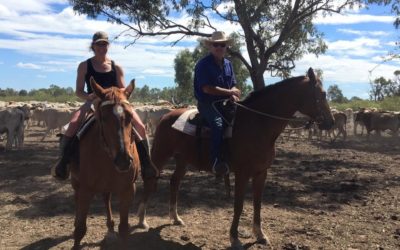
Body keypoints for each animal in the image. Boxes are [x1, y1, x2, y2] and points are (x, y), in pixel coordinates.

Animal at [70, 77, 141, 248]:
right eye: (103, 117)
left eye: (130, 116)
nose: (123, 160)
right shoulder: (86, 190)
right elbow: (80, 230)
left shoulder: (128, 190)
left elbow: (124, 228)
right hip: (75, 182)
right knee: (76, 199)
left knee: (106, 198)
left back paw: (110, 225)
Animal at [138, 68, 334, 248]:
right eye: (322, 94)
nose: (330, 122)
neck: (257, 124)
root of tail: (166, 116)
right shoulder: (242, 173)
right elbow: (239, 205)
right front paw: (234, 237)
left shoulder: (261, 173)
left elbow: (257, 203)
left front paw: (260, 235)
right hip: (161, 154)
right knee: (150, 180)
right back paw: (141, 220)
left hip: (183, 160)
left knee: (174, 182)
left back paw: (175, 217)